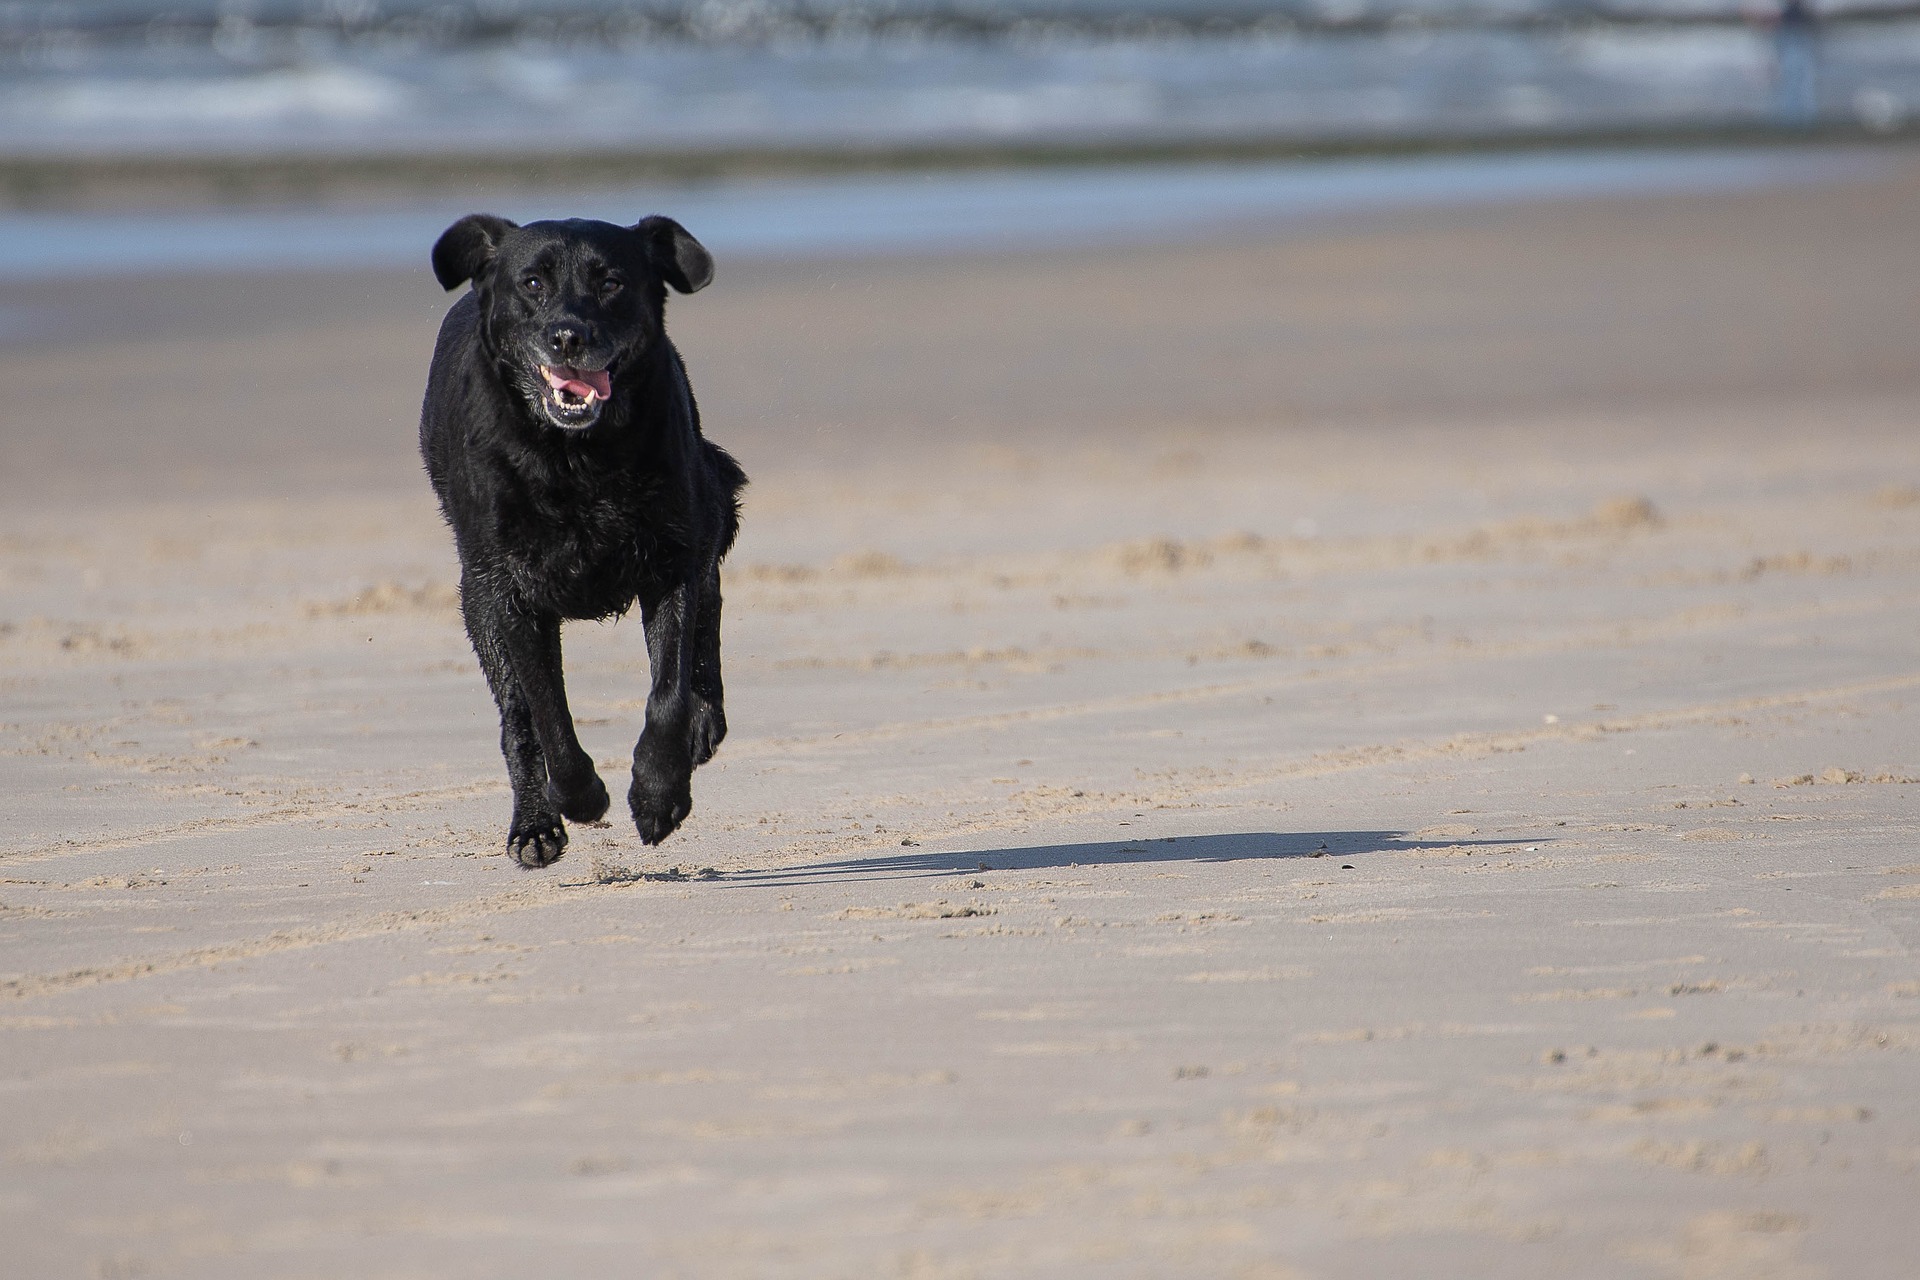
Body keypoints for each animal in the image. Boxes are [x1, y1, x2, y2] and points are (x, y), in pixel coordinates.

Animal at [420, 214, 741, 871]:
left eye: (612, 282)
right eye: (533, 282)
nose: (569, 335)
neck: (577, 460)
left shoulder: (671, 561)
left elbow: (668, 692)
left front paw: (659, 794)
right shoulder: (509, 592)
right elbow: (545, 711)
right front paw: (580, 796)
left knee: (709, 611)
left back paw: (702, 724)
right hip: (477, 601)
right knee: (516, 718)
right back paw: (534, 826)